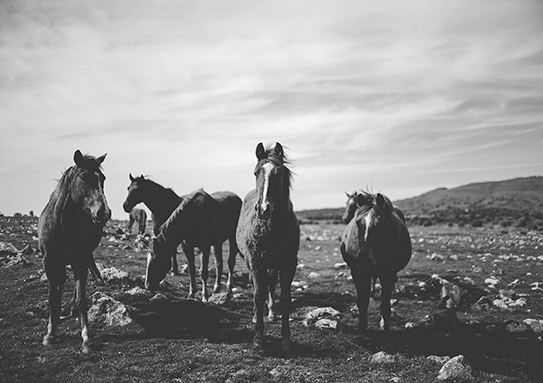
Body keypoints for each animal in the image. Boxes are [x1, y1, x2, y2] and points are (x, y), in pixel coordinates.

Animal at [38, 150, 111, 354]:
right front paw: (50, 333)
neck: (63, 227)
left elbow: (81, 300)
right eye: (84, 177)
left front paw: (86, 339)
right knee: (61, 284)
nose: (104, 213)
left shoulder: (80, 260)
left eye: (103, 178)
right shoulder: (49, 262)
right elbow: (52, 298)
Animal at [236, 142, 300, 354]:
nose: (263, 209)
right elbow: (258, 294)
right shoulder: (256, 262)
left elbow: (285, 298)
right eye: (256, 172)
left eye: (278, 173)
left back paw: (271, 313)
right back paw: (256, 315)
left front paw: (286, 339)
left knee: (271, 284)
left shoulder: (288, 264)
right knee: (258, 285)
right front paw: (258, 338)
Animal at [340, 191, 412, 336]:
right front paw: (362, 329)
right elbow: (362, 302)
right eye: (357, 223)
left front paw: (386, 332)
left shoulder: (388, 275)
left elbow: (385, 307)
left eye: (380, 224)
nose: (362, 259)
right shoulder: (358, 273)